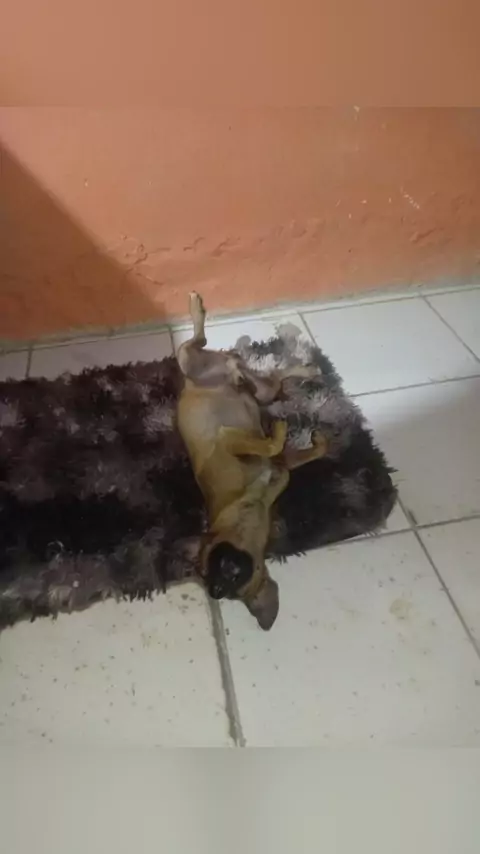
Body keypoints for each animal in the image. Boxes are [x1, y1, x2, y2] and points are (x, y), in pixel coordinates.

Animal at [176, 292, 328, 630]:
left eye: (223, 577)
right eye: (208, 574)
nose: (215, 590)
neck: (251, 501)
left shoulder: (236, 445)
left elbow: (284, 449)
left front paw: (308, 438)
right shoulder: (258, 451)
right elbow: (277, 447)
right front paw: (291, 435)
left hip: (221, 374)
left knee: (202, 343)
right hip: (251, 387)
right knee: (267, 376)